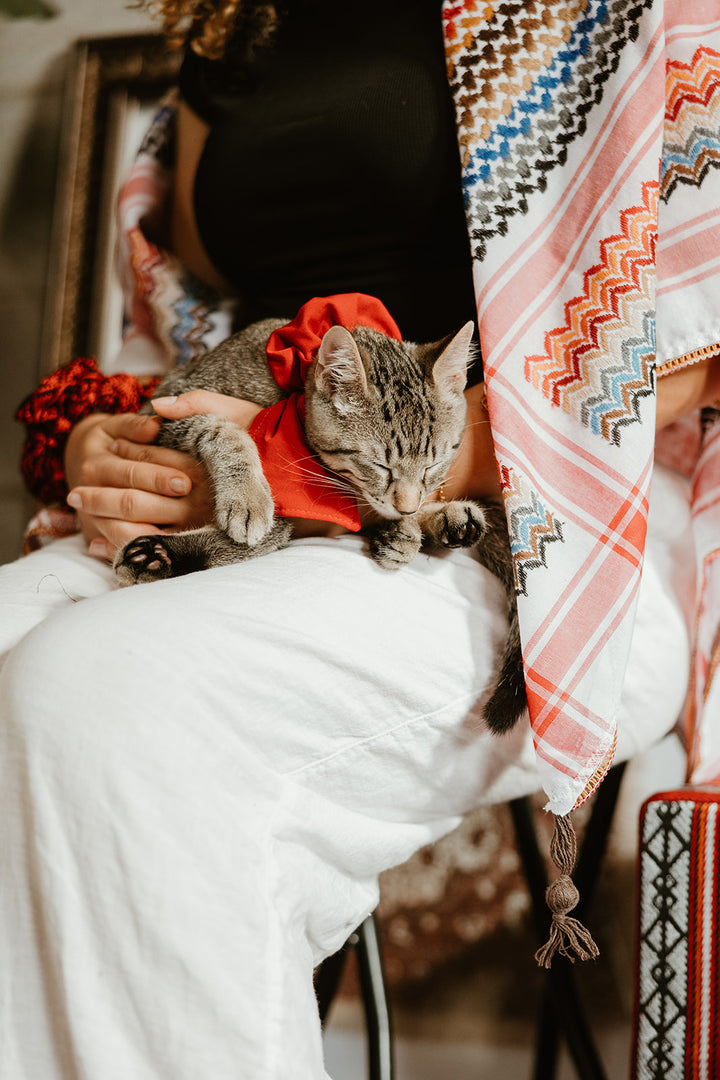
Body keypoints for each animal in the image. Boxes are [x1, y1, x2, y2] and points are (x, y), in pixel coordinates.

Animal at [115, 315, 526, 730]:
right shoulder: (161, 412)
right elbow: (223, 430)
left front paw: (410, 525)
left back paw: (445, 522)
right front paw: (247, 495)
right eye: (380, 466)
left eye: (433, 466)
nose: (408, 508)